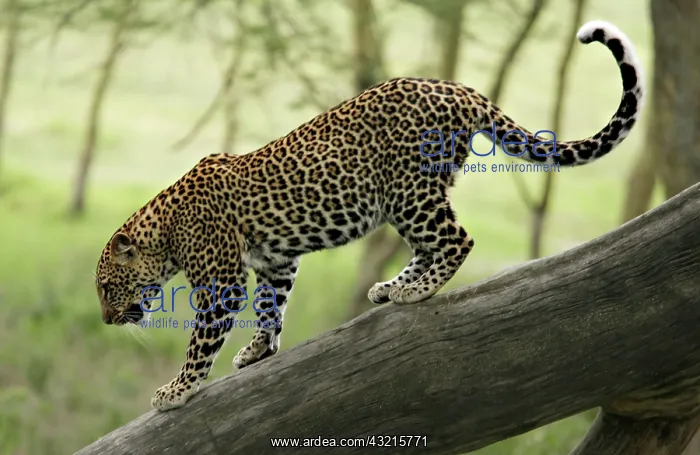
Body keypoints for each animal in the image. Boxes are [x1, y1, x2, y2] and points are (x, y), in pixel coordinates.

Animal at [95, 20, 644, 411]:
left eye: (104, 287)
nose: (105, 319)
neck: (164, 233)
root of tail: (458, 88)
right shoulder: (275, 262)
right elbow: (272, 306)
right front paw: (258, 351)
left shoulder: (221, 279)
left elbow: (201, 342)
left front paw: (175, 391)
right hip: (410, 195)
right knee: (428, 245)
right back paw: (392, 287)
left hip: (409, 191)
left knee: (457, 240)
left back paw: (415, 291)